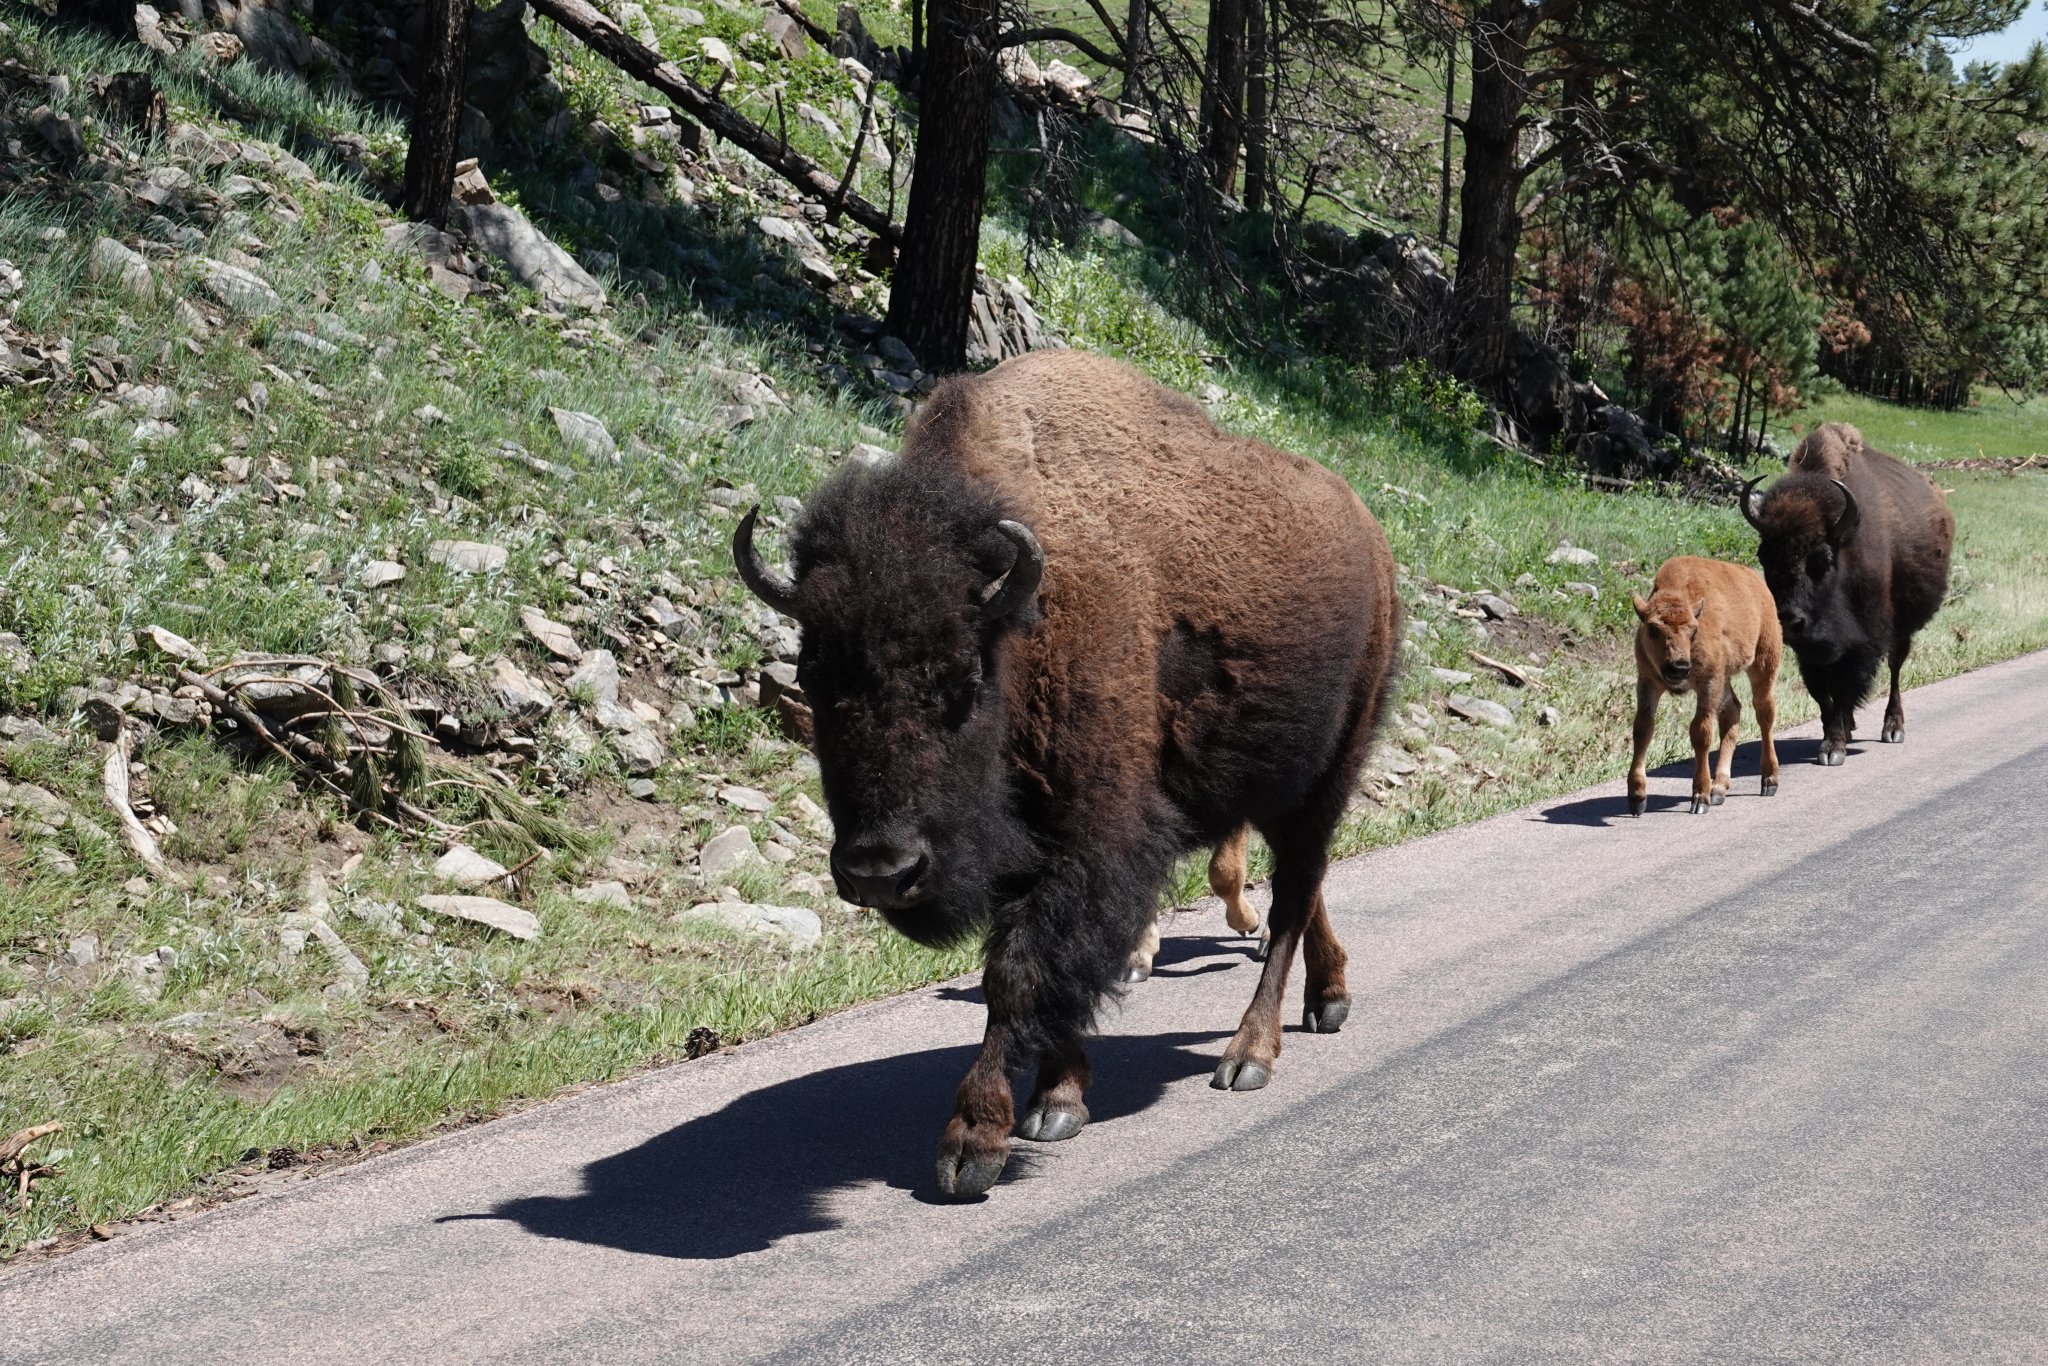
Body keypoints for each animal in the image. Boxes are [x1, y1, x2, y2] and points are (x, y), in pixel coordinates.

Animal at [729, 350, 1400, 1196]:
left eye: (962, 680)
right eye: (813, 677)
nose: (882, 870)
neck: (1023, 620)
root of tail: (1370, 537)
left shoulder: (1091, 837)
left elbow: (1019, 973)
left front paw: (972, 1142)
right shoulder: (1027, 851)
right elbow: (1046, 976)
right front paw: (1058, 1098)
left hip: (1326, 775)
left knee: (1290, 902)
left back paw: (1249, 1055)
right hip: (1279, 789)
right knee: (1305, 892)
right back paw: (1329, 997)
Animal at [1622, 552, 1785, 819]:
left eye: (1693, 630)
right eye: (1653, 629)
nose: (1678, 667)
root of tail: (1759, 584)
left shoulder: (1708, 682)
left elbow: (1701, 732)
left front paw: (1700, 798)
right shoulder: (1648, 682)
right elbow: (1643, 729)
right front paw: (1637, 798)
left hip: (1763, 665)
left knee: (1764, 713)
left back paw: (1769, 781)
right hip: (1726, 679)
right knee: (1733, 712)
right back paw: (1719, 788)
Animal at [1744, 423, 1949, 765]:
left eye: (1823, 558)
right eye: (1764, 555)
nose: (1789, 619)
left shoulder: (1862, 644)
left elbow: (1843, 689)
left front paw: (1834, 749)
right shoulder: (1810, 652)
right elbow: (1823, 695)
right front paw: (1834, 737)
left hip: (1901, 630)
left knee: (1895, 668)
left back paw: (1893, 728)